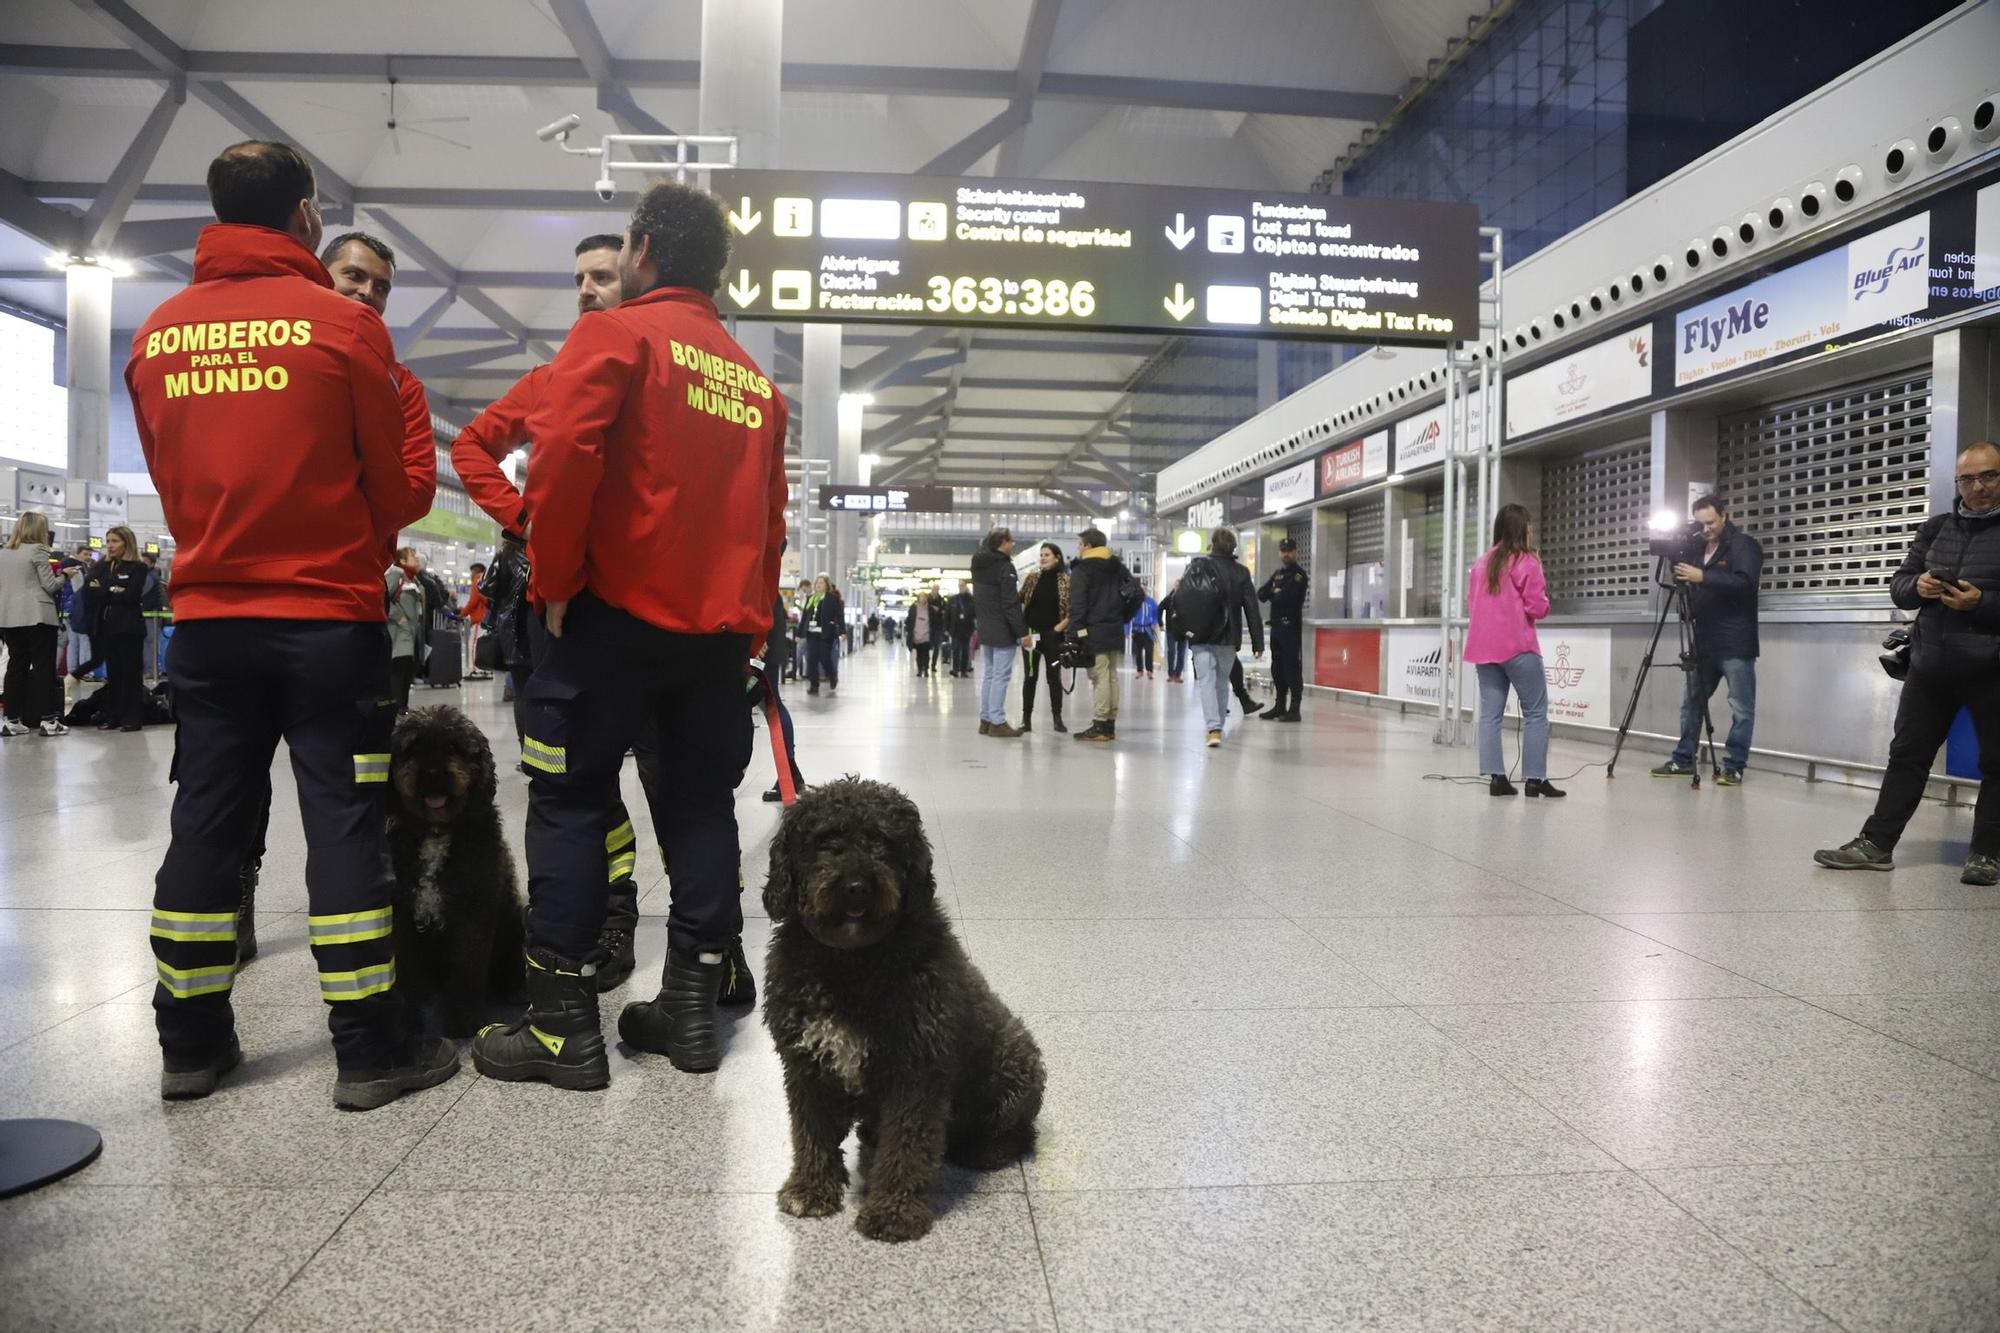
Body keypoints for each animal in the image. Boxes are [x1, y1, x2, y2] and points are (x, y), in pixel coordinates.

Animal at [386, 700, 528, 1032]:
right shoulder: (402, 915)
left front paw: (462, 1020)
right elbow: (406, 971)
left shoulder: (472, 913)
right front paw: (408, 1022)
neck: (435, 832)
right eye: (413, 747)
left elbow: (466, 969)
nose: (433, 773)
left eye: (454, 746)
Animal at [760, 772, 1048, 1240]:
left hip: (1016, 1061)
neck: (851, 964)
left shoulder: (916, 1074)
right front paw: (811, 1188)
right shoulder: (806, 1065)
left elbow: (908, 1149)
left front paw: (893, 1210)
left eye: (881, 841)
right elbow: (812, 1134)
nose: (856, 887)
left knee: (1020, 1132)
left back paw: (987, 1148)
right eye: (826, 840)